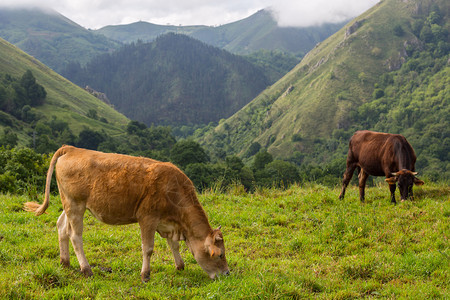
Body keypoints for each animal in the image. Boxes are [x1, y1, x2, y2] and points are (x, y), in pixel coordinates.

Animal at [24, 145, 229, 282]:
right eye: (219, 255)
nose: (227, 273)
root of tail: (72, 148)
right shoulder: (147, 218)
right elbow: (148, 248)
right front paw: (145, 275)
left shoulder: (167, 223)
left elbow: (174, 245)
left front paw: (180, 266)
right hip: (76, 205)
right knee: (75, 235)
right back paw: (86, 269)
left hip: (69, 204)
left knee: (61, 227)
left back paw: (65, 263)